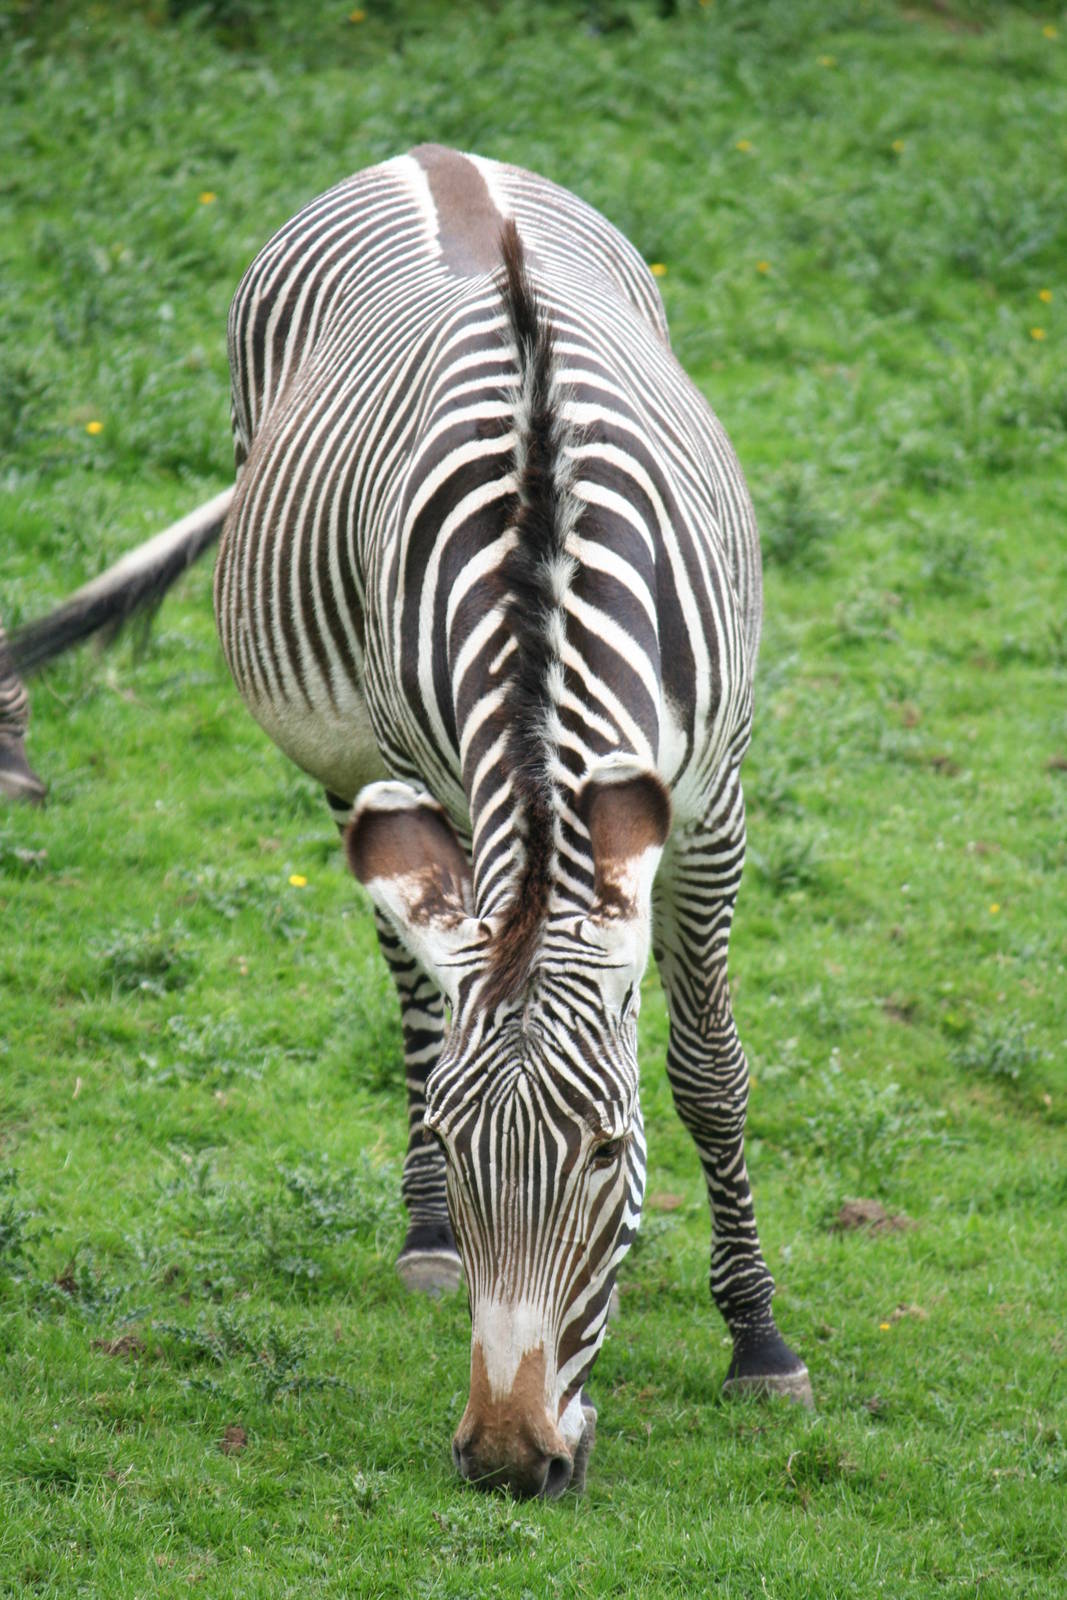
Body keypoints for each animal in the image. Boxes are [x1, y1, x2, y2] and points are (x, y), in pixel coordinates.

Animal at [5, 146, 811, 1498]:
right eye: (457, 1140)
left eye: (608, 1151)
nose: (509, 1462)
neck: (542, 567)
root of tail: (433, 156)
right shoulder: (430, 777)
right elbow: (446, 1025)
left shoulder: (712, 805)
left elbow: (708, 1070)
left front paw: (755, 1336)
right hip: (360, 766)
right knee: (413, 992)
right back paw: (424, 1233)